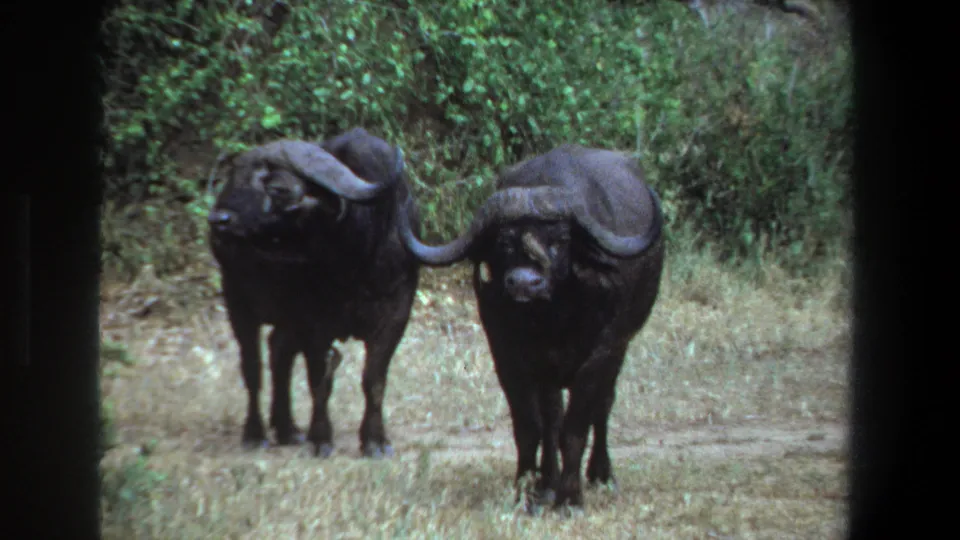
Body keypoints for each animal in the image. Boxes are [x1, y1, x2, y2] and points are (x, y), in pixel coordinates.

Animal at [208, 128, 420, 458]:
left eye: (278, 188)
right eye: (234, 178)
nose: (219, 220)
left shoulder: (397, 312)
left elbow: (374, 378)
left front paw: (375, 440)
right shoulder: (313, 321)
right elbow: (319, 379)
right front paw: (321, 439)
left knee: (278, 350)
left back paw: (287, 428)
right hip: (238, 302)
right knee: (253, 368)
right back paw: (255, 434)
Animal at [396, 144, 665, 510]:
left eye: (561, 239)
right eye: (504, 242)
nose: (525, 283)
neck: (552, 319)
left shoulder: (604, 351)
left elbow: (576, 426)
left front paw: (570, 498)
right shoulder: (508, 356)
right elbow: (531, 427)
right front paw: (528, 490)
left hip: (620, 348)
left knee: (603, 405)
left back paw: (601, 474)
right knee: (552, 418)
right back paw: (548, 483)